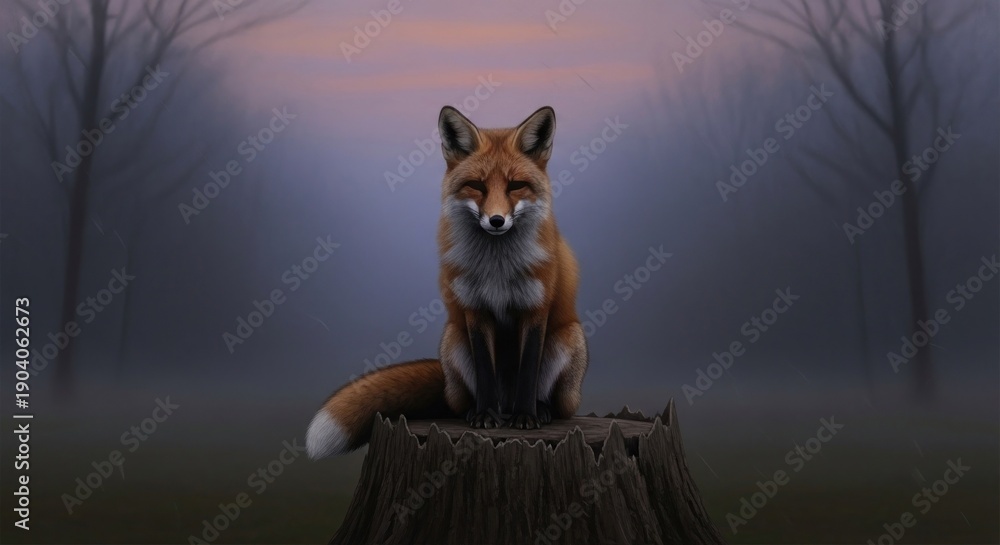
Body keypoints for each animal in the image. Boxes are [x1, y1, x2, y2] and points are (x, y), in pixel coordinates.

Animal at [306, 106, 588, 459]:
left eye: (516, 186)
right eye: (477, 186)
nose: (497, 220)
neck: (497, 268)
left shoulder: (536, 308)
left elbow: (528, 370)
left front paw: (526, 417)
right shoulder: (473, 310)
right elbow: (485, 371)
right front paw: (485, 416)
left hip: (568, 341)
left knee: (552, 400)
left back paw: (537, 410)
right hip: (453, 339)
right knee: (463, 401)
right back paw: (479, 411)